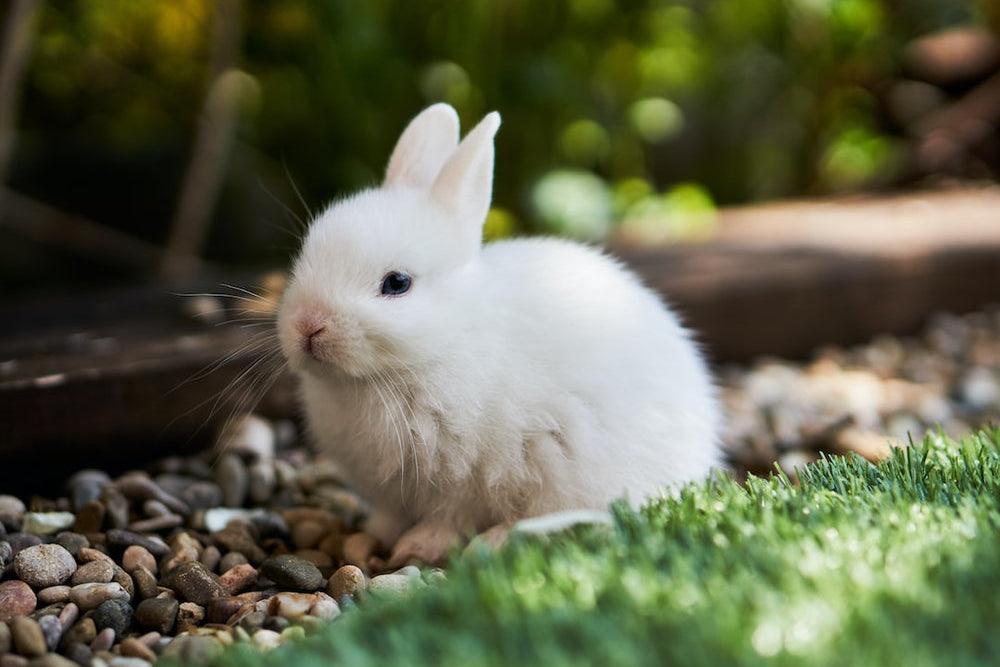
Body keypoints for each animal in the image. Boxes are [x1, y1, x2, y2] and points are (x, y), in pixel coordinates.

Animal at [277, 103, 721, 567]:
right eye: (306, 255)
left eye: (397, 283)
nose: (308, 325)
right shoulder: (390, 495)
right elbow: (387, 518)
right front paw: (368, 538)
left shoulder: (466, 479)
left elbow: (449, 518)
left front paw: (417, 547)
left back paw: (496, 541)